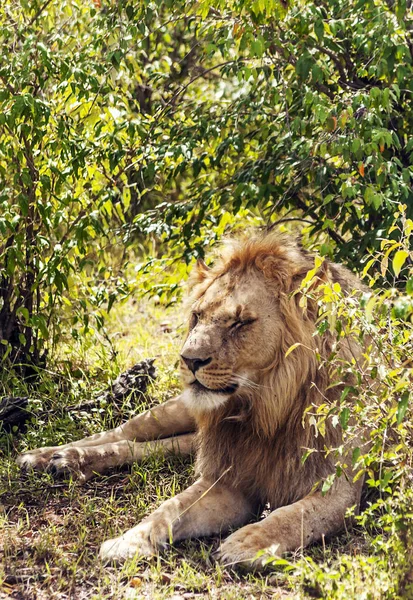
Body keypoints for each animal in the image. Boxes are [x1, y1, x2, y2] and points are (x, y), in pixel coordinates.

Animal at [16, 233, 366, 568]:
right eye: (197, 316)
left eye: (240, 322)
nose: (188, 359)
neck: (266, 410)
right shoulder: (228, 478)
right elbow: (169, 508)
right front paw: (128, 541)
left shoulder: (338, 490)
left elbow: (293, 516)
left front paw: (247, 543)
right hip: (177, 409)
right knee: (123, 432)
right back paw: (50, 456)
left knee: (154, 447)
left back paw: (66, 461)